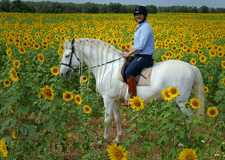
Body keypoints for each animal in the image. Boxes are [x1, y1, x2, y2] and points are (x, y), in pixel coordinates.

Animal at [59, 37, 204, 142]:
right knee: (184, 119)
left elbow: (107, 119)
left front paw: (103, 140)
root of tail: (190, 67)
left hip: (181, 101)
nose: (62, 74)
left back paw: (183, 143)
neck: (108, 67)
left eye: (67, 55)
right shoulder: (115, 100)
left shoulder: (108, 99)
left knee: (189, 118)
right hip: (177, 102)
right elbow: (117, 118)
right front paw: (117, 139)